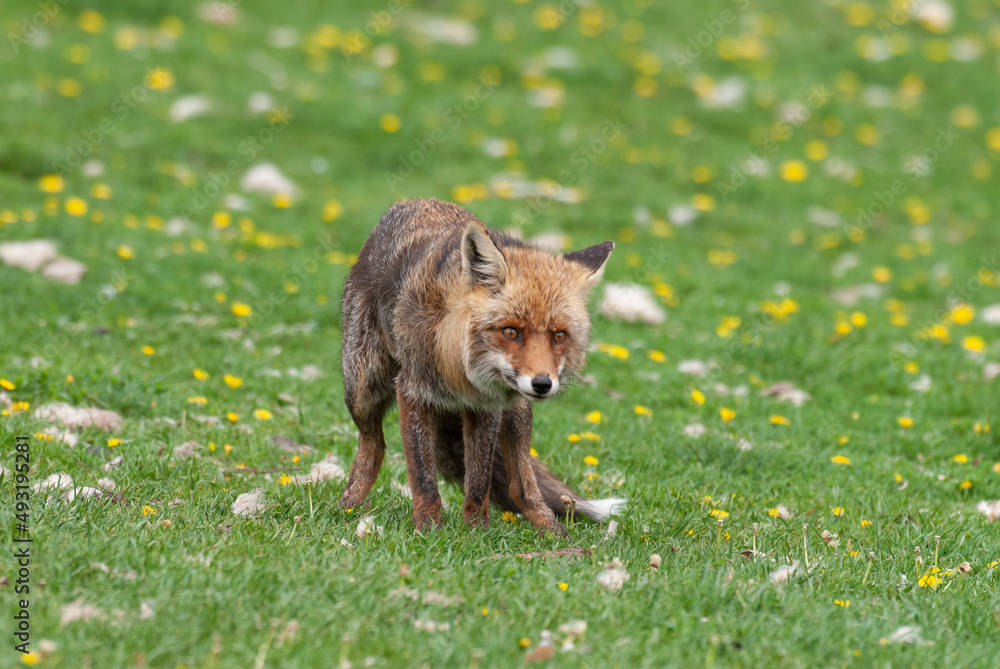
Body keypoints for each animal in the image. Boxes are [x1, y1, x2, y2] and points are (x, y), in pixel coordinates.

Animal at [338, 198, 625, 533]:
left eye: (559, 336)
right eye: (511, 332)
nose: (542, 384)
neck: (461, 372)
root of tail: (413, 202)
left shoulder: (487, 407)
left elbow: (478, 481)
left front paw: (477, 532)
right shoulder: (413, 393)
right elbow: (424, 480)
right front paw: (428, 531)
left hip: (517, 412)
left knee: (522, 485)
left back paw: (552, 530)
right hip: (362, 388)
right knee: (374, 445)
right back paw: (347, 505)